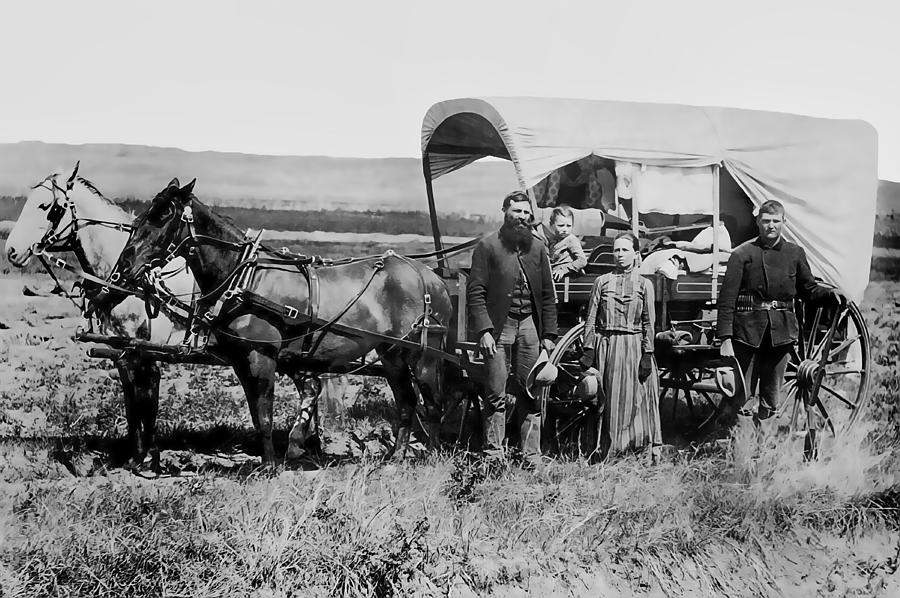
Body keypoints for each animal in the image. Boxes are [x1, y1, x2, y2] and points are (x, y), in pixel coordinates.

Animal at [105, 180, 454, 466]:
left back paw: (434, 457)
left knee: (433, 403)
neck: (244, 277)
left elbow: (264, 413)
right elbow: (258, 412)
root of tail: (429, 277)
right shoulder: (241, 359)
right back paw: (396, 457)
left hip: (423, 354)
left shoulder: (262, 356)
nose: (124, 265)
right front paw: (275, 458)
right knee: (407, 402)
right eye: (142, 216)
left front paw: (271, 465)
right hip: (390, 353)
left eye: (165, 215)